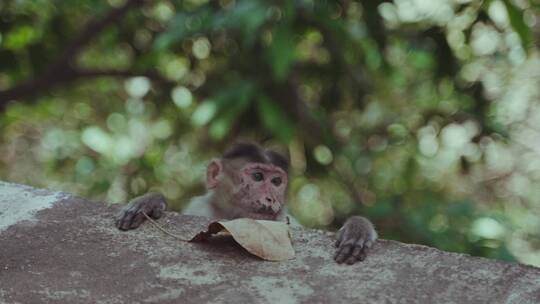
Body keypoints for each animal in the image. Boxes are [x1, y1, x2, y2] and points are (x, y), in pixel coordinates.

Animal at [115, 142, 376, 264]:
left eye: (276, 181)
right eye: (258, 177)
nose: (271, 198)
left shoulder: (285, 219)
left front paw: (358, 228)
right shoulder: (201, 208)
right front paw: (149, 201)